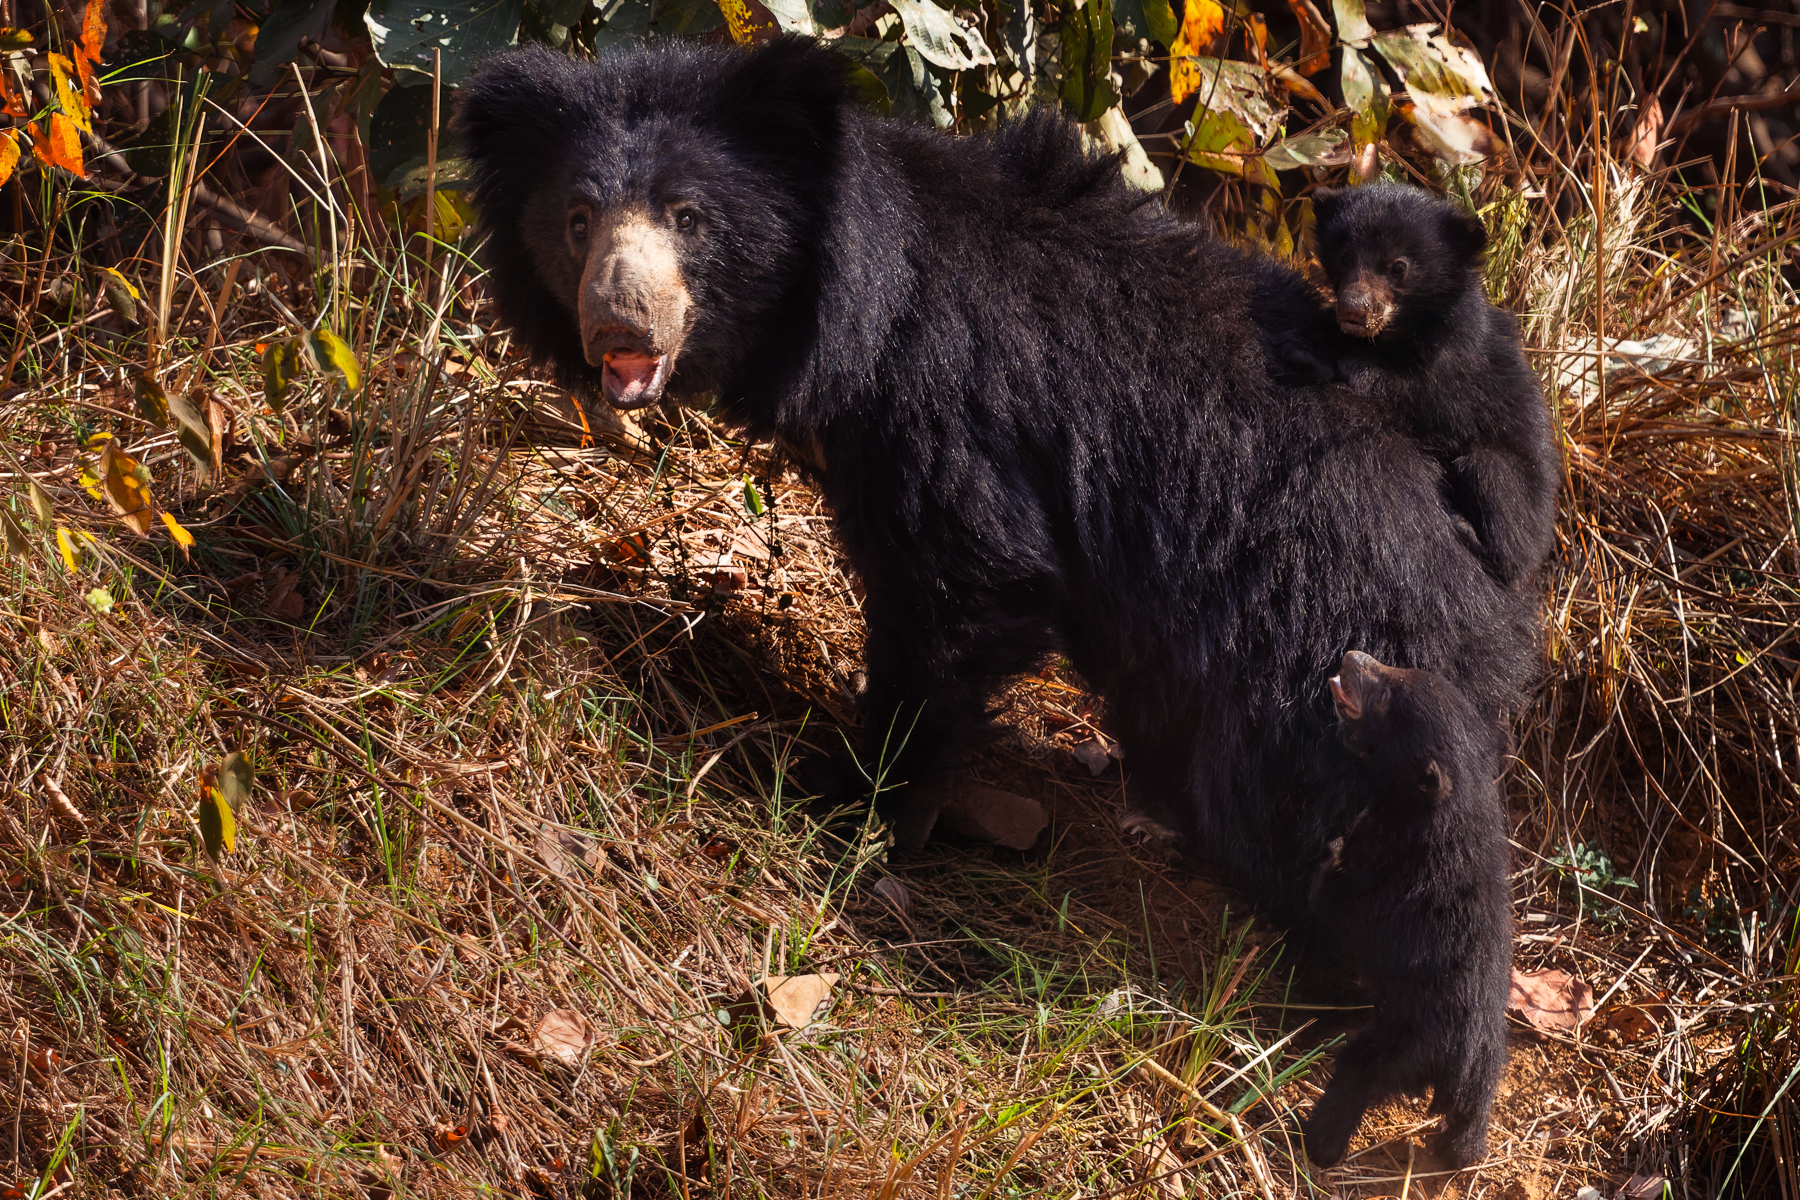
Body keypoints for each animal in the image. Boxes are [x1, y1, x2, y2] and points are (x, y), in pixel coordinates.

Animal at [1273, 183, 1558, 589]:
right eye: (1344, 258)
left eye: (1398, 268)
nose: (1353, 310)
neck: (1405, 332)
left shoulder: (1455, 368)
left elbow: (1424, 399)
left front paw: (1312, 355)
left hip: (1512, 482)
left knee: (1494, 487)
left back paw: (1470, 533)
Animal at [1300, 650, 1511, 1169]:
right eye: (1406, 670)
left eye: (1387, 695)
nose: (1351, 655)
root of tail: (1465, 1062)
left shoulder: (1379, 861)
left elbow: (1331, 899)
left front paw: (1328, 852)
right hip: (1487, 1071)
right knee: (1472, 1117)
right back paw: (1462, 1153)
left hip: (1406, 1040)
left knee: (1359, 1071)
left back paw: (1316, 1141)